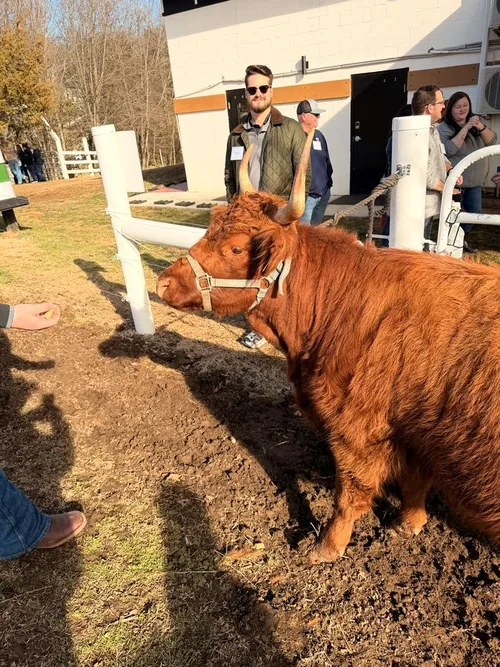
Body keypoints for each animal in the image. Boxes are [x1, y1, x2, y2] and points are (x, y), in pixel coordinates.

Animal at [157, 131, 500, 563]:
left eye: (236, 248)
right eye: (210, 227)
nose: (163, 283)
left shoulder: (358, 427)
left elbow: (349, 493)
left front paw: (327, 545)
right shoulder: (415, 434)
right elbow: (415, 480)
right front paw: (410, 523)